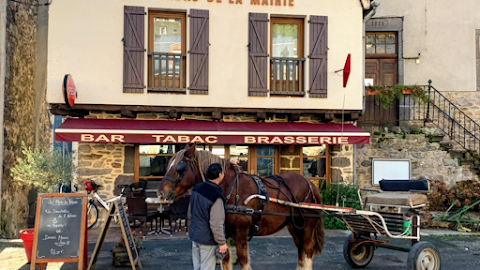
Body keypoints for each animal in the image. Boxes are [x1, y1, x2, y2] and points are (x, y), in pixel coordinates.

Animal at [158, 146, 326, 270]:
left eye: (179, 167)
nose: (160, 193)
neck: (230, 189)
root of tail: (310, 184)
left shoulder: (240, 234)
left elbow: (244, 262)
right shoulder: (224, 234)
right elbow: (225, 261)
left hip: (308, 226)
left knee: (308, 249)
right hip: (294, 226)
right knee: (300, 248)